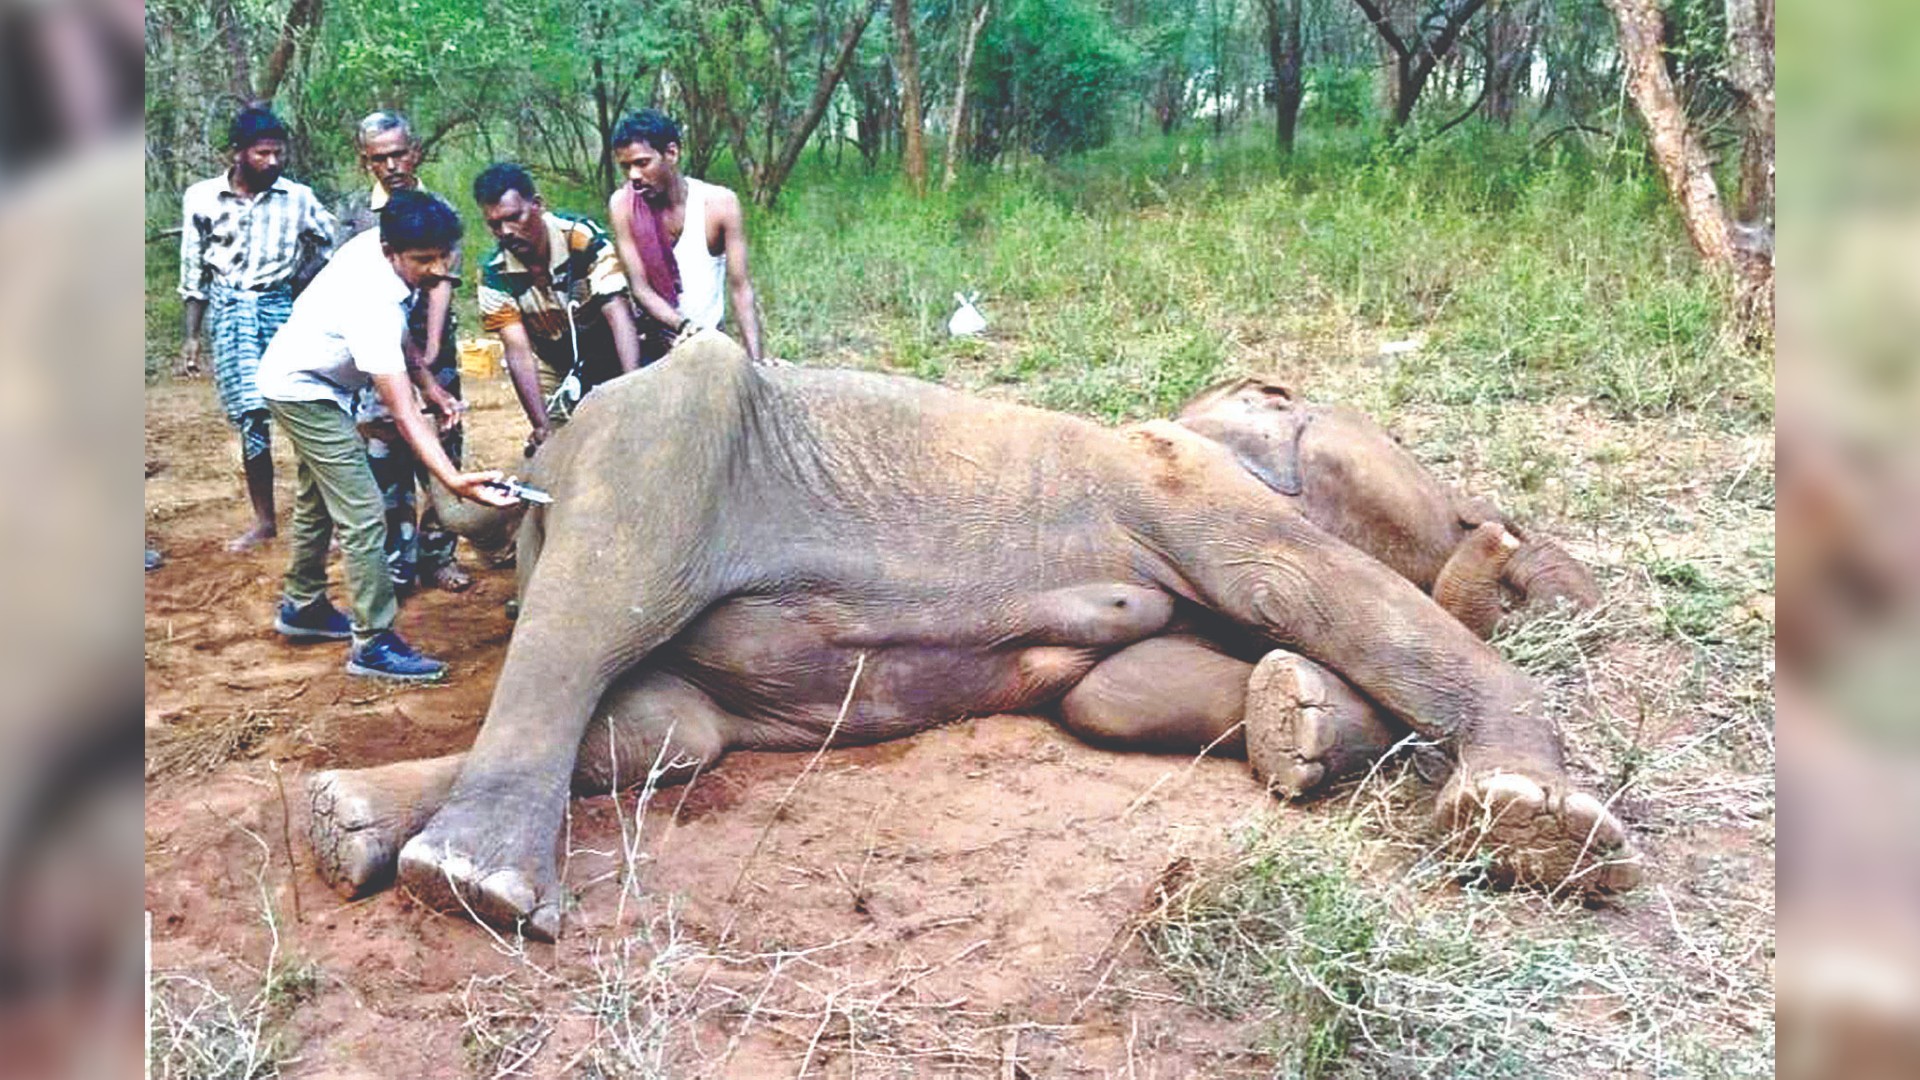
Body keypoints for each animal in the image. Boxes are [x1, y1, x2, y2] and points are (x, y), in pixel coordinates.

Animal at [306, 332, 1637, 942]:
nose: (1508, 543)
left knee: (667, 728)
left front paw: (1295, 720)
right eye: (1443, 496)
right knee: (598, 613)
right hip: (658, 439)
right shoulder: (1175, 478)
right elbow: (1298, 579)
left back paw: (346, 825)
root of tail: (528, 472)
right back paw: (470, 885)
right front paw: (1538, 831)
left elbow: (1123, 692)